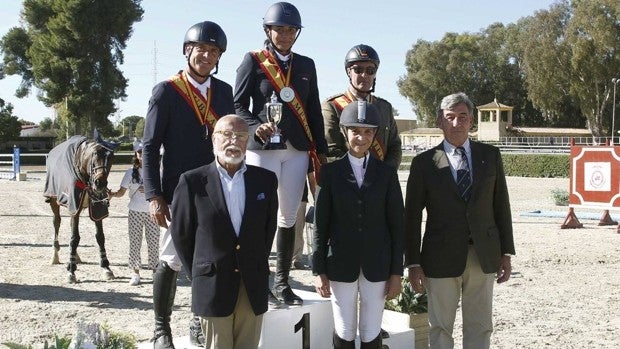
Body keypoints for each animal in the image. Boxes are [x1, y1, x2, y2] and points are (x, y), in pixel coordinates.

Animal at [43, 130, 118, 282]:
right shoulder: (74, 207)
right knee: (57, 222)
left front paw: (106, 267)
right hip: (54, 200)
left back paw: (75, 256)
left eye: (112, 157)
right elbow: (74, 238)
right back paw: (55, 255)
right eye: (94, 154)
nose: (100, 183)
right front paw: (71, 270)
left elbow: (100, 236)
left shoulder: (96, 208)